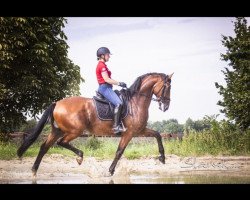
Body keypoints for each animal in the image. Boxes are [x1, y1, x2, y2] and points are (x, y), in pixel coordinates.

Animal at [17, 72, 173, 177]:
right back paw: (79, 156)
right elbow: (119, 152)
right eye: (167, 86)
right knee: (61, 143)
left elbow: (157, 135)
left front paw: (162, 158)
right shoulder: (129, 133)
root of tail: (57, 103)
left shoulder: (139, 131)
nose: (166, 106)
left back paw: (34, 171)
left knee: (44, 147)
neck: (135, 102)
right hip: (74, 131)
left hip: (57, 130)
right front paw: (110, 171)